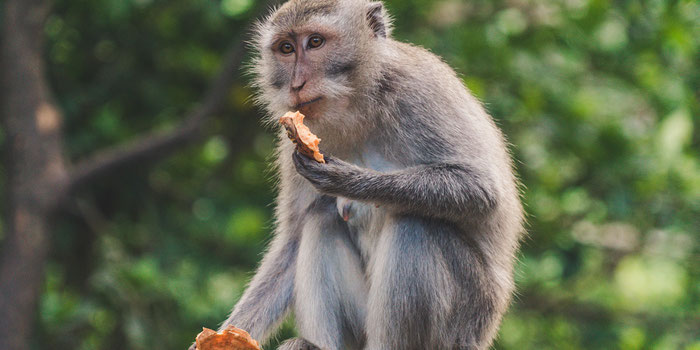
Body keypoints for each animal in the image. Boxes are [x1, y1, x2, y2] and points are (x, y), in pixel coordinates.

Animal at [189, 0, 524, 350]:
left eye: (315, 42)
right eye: (286, 48)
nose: (296, 84)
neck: (358, 105)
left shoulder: (419, 89)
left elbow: (482, 189)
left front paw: (345, 179)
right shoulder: (291, 137)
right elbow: (292, 241)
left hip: (462, 323)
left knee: (414, 224)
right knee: (320, 218)